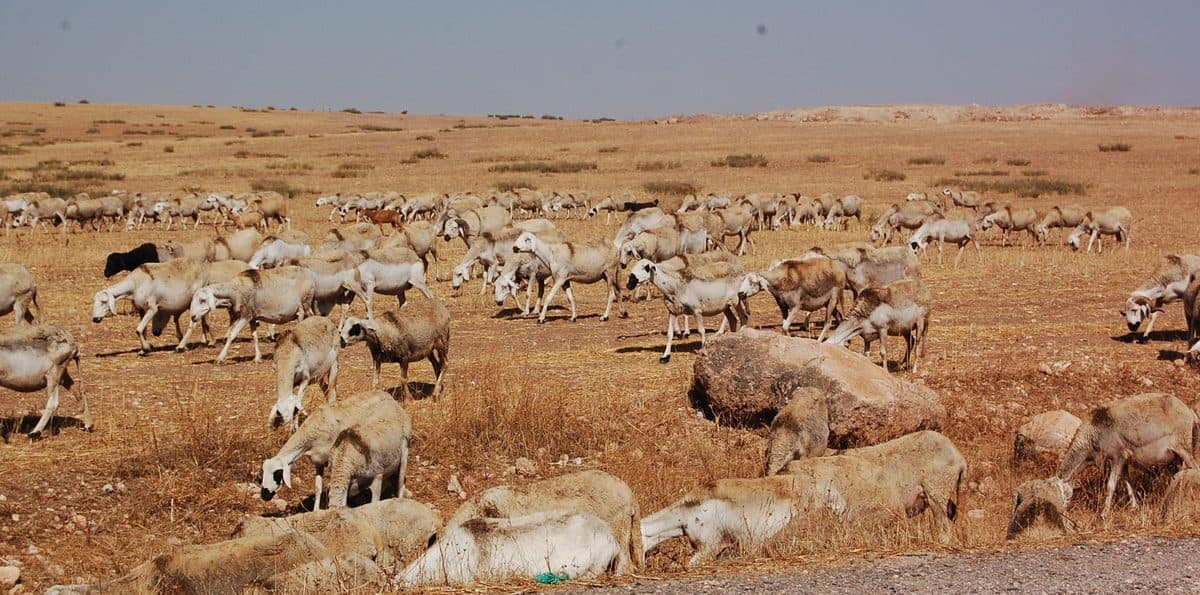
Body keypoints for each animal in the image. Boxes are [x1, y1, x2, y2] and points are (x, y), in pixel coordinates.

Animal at [260, 390, 392, 511]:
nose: (264, 496)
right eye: (262, 472)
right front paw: (316, 510)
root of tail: (386, 394)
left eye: (277, 473)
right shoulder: (318, 462)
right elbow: (318, 488)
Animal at [1055, 393, 1198, 518]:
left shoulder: (1118, 455)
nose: (1059, 514)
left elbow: (1111, 485)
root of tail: (1190, 412)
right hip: (1177, 456)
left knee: (1195, 468)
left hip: (1183, 446)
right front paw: (1134, 506)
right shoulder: (1123, 459)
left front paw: (1103, 515)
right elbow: (1127, 480)